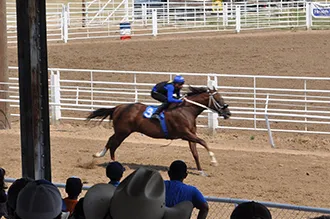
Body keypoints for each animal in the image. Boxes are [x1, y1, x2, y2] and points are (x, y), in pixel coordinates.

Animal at [87, 86, 232, 174]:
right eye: (219, 99)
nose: (228, 113)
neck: (186, 110)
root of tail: (118, 107)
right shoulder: (185, 133)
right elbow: (203, 142)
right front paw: (213, 161)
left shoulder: (190, 135)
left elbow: (195, 152)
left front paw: (201, 170)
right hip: (123, 132)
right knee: (113, 144)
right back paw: (113, 162)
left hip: (120, 131)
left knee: (110, 140)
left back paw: (99, 155)